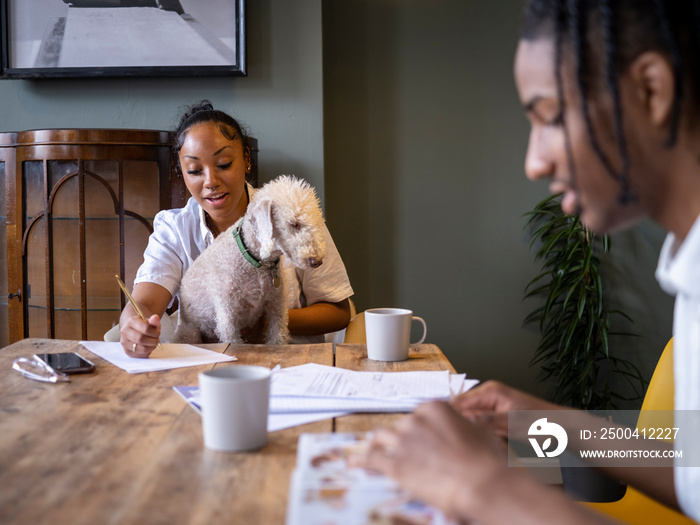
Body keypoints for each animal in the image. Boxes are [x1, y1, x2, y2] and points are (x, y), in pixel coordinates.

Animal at [175, 176, 328, 344]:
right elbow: (233, 340)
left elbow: (278, 337)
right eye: (294, 224)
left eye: (316, 223)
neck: (255, 262)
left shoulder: (276, 307)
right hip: (191, 332)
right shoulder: (227, 318)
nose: (317, 261)